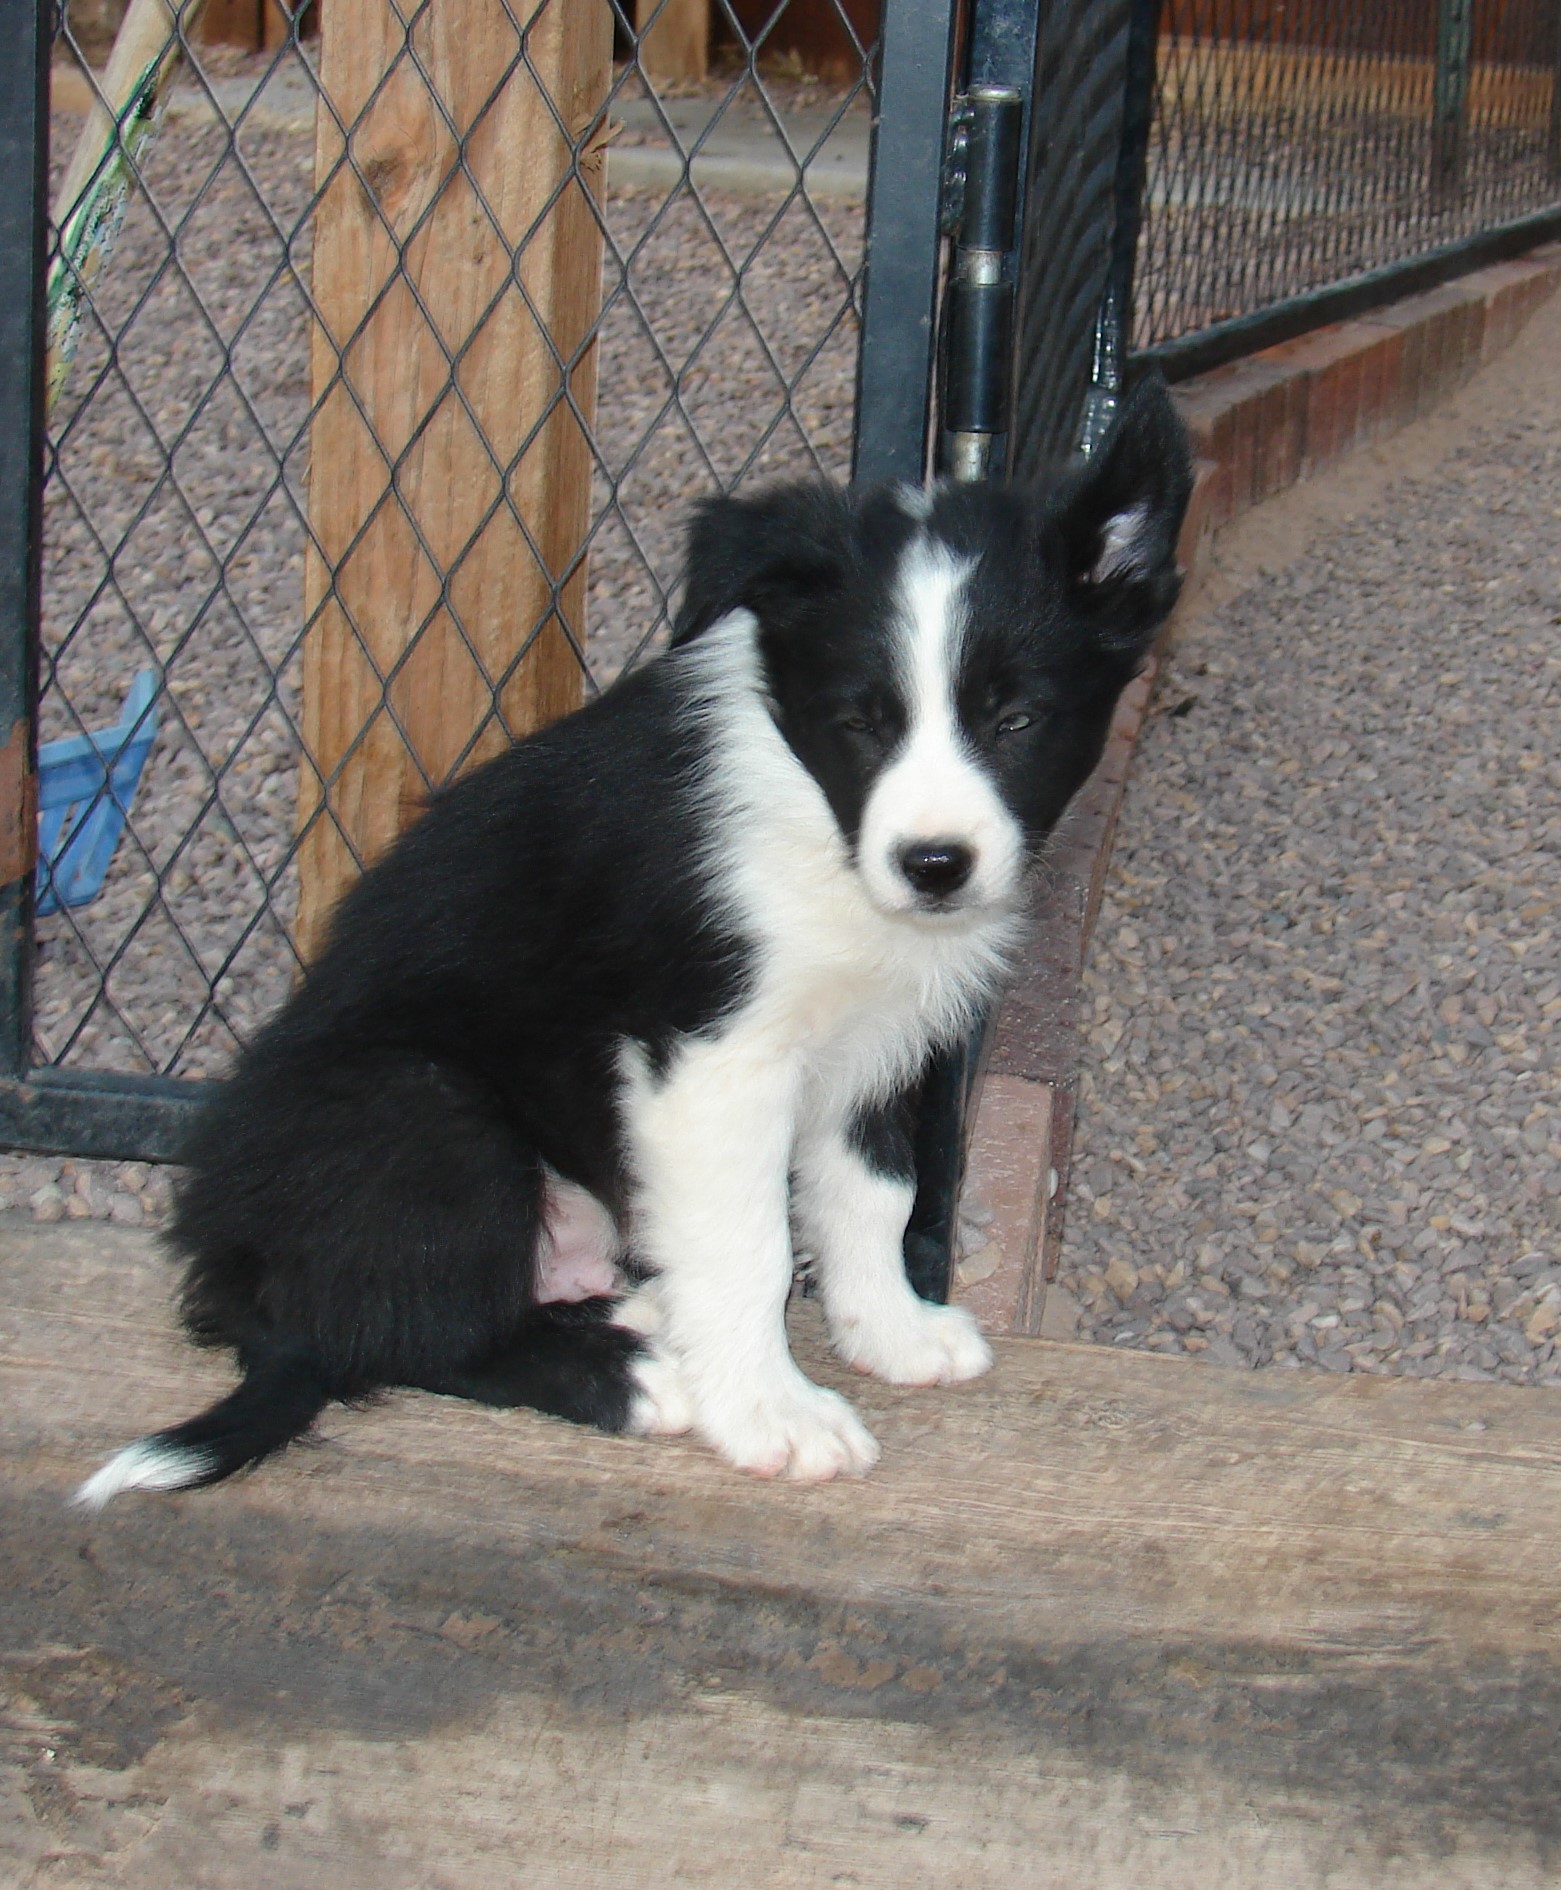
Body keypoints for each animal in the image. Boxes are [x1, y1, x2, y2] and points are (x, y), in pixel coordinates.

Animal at [78, 376, 1186, 1496]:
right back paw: (632, 1378)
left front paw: (888, 1330)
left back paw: (646, 1318)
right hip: (427, 1112)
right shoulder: (707, 1059)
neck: (814, 811)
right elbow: (749, 1244)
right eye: (861, 722)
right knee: (408, 1334)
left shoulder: (875, 1040)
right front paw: (771, 1413)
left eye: (1016, 721)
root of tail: (245, 1289)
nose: (933, 864)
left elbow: (873, 1191)